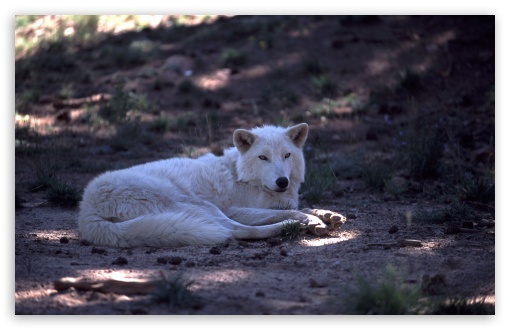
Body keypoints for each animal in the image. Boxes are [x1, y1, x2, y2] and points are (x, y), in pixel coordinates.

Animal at [78, 124, 342, 248]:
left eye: (287, 155)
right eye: (263, 158)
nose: (282, 182)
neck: (241, 174)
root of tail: (86, 212)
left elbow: (303, 206)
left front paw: (328, 214)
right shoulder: (236, 209)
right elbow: (291, 211)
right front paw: (312, 221)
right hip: (201, 206)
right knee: (235, 231)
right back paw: (289, 227)